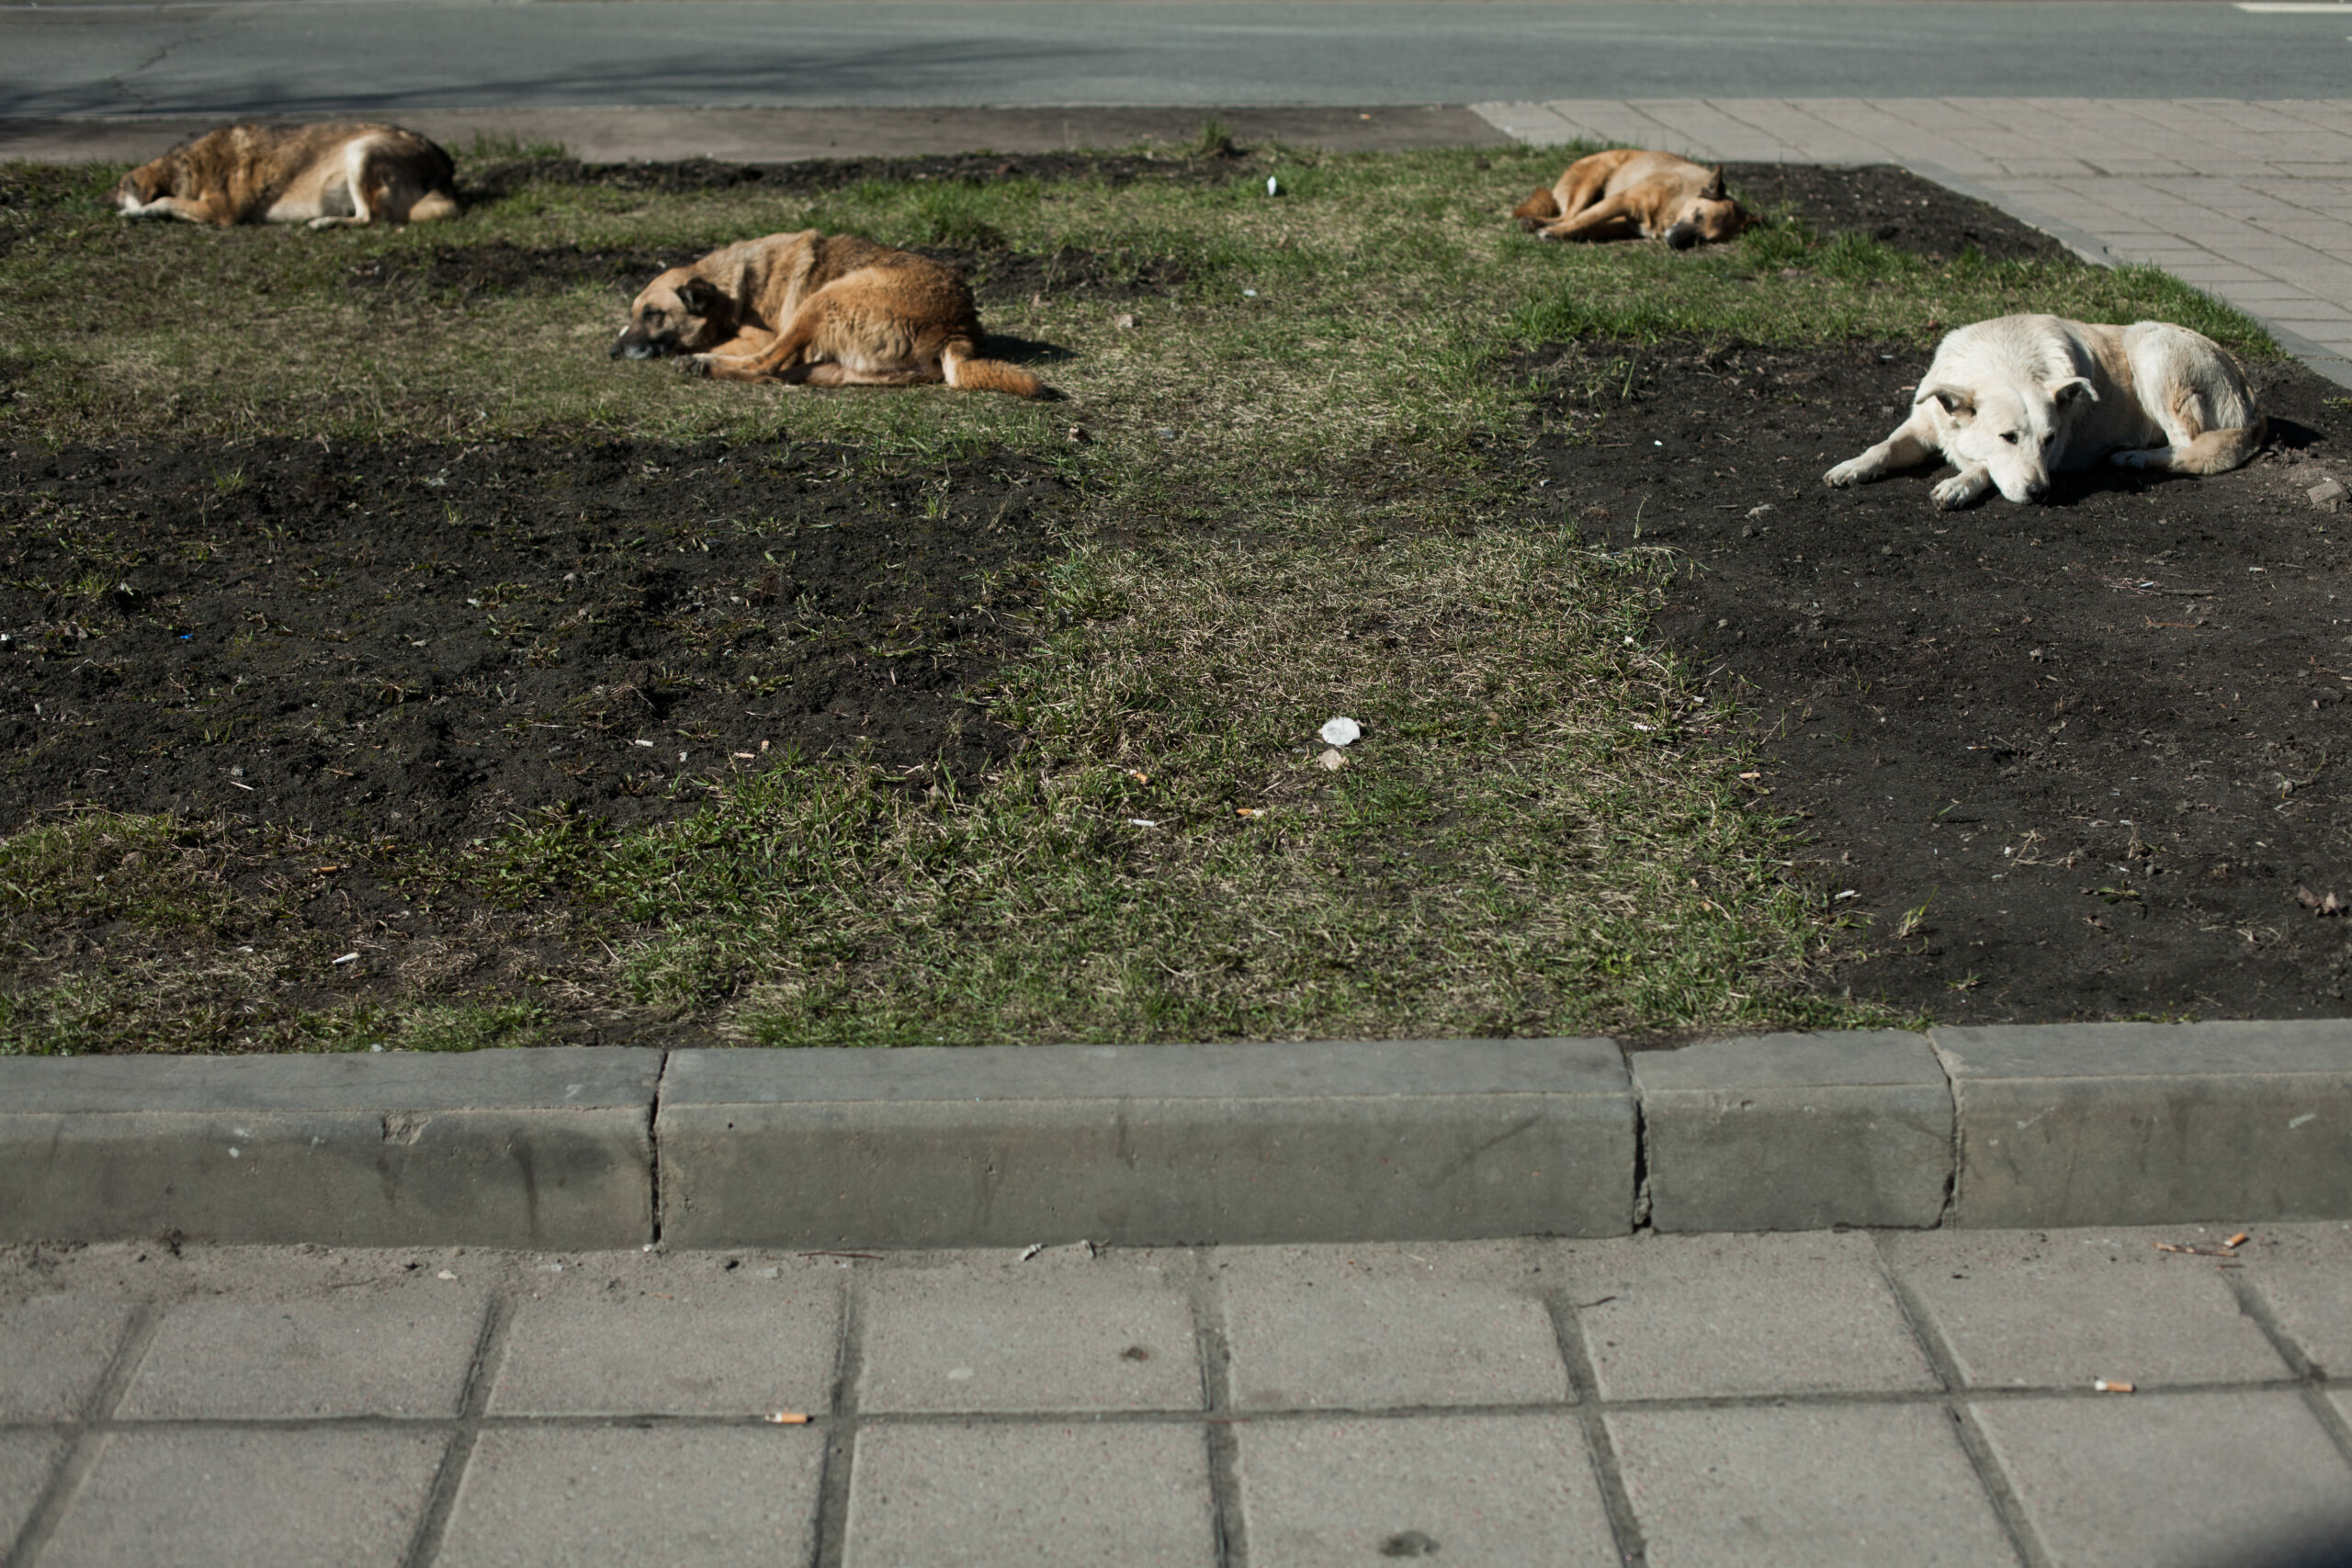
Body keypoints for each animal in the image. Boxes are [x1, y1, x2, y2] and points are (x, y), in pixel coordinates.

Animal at [112, 123, 458, 230]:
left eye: (118, 187)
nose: (100, 201)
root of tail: (443, 166)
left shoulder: (218, 212)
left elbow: (164, 202)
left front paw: (135, 212)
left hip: (361, 151)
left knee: (369, 217)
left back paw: (323, 222)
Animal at [611, 230, 1044, 400]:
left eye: (653, 314)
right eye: (635, 313)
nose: (613, 354)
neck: (732, 286)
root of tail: (958, 329)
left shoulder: (759, 335)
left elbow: (743, 350)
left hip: (822, 299)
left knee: (765, 366)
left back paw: (701, 364)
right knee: (788, 372)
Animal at [1514, 148, 1758, 250]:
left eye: (1705, 239)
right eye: (1698, 215)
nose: (1675, 242)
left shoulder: (1624, 223)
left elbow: (1588, 225)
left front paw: (1562, 234)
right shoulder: (1623, 200)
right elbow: (1583, 220)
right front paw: (1555, 234)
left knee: (1567, 216)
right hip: (1595, 177)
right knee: (1569, 215)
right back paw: (1538, 224)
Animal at [1815, 314, 2257, 512]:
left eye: (2049, 440)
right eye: (2008, 437)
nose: (2040, 493)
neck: (2002, 359)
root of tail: (2247, 386)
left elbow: (1984, 467)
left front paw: (1960, 484)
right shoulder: (1924, 425)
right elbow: (1883, 447)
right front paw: (1853, 467)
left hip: (2151, 349)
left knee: (2188, 446)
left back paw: (2133, 456)